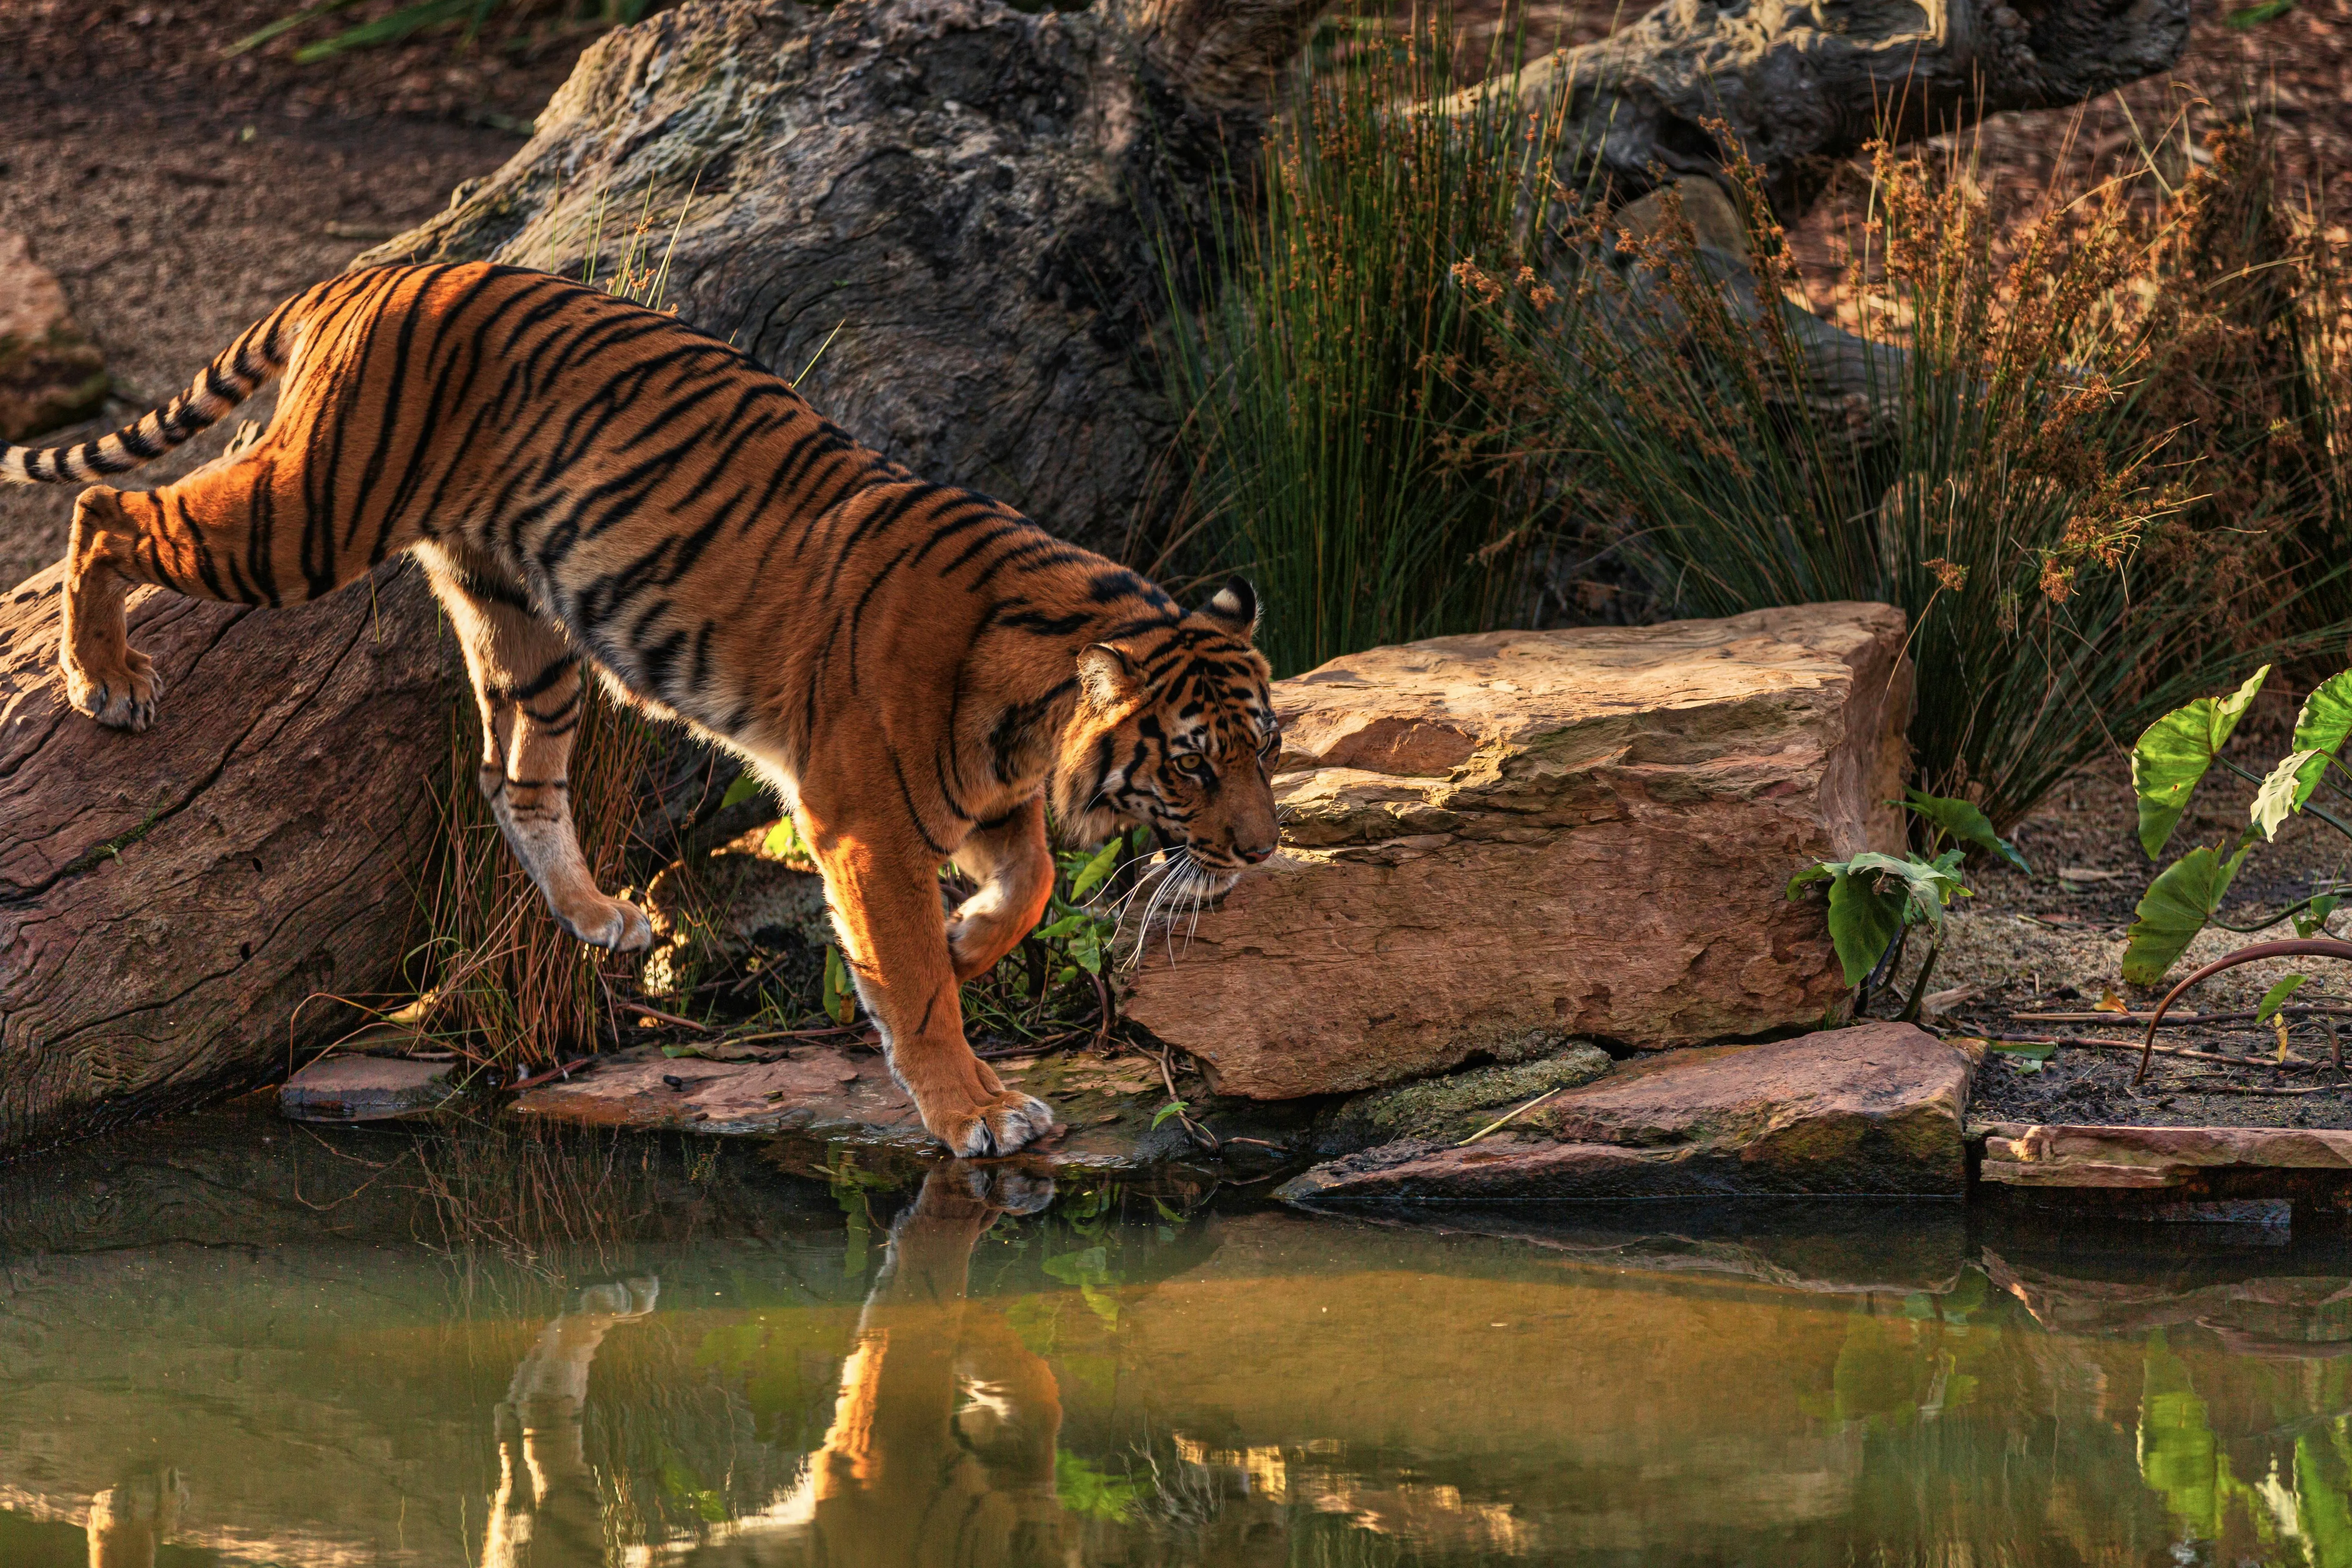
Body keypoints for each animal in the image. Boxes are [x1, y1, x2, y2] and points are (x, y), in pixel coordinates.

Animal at [2, 261, 1282, 1158]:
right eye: (1192, 763)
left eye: (1267, 750)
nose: (1265, 851)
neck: (1034, 709)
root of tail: (376, 270)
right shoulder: (864, 819)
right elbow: (917, 984)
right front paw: (976, 1108)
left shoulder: (978, 801)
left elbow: (1033, 885)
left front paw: (971, 942)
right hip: (306, 515)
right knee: (110, 511)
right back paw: (103, 678)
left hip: (523, 624)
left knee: (510, 779)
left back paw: (597, 917)